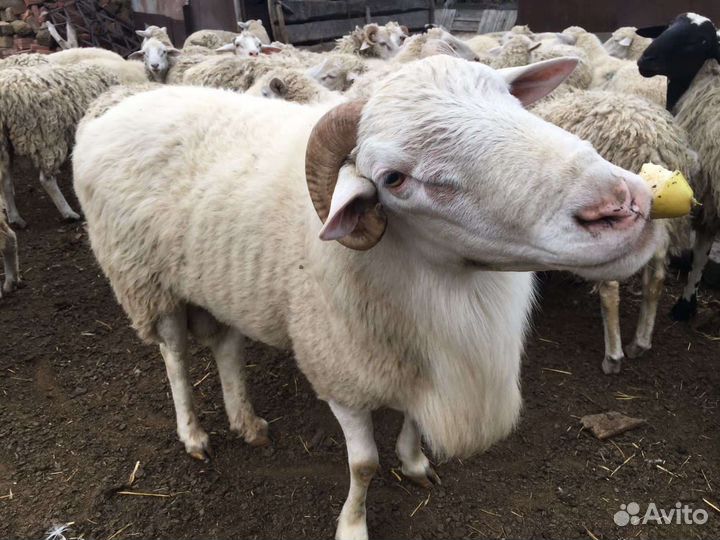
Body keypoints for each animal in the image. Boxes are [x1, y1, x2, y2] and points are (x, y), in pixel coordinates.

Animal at [0, 63, 120, 228]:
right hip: (46, 135)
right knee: (47, 180)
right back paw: (68, 213)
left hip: (4, 142)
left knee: (5, 179)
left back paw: (14, 217)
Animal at [73, 56, 660, 540]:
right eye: (393, 179)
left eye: (513, 103)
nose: (620, 204)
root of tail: (128, 104)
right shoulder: (341, 372)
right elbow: (364, 466)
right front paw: (353, 525)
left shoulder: (415, 356)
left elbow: (410, 423)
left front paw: (417, 464)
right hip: (147, 283)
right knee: (174, 356)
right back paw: (194, 434)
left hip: (222, 282)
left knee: (226, 345)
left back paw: (247, 422)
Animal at [637, 12, 720, 320]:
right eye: (670, 26)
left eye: (701, 41)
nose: (646, 59)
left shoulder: (708, 198)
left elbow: (701, 254)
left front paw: (686, 304)